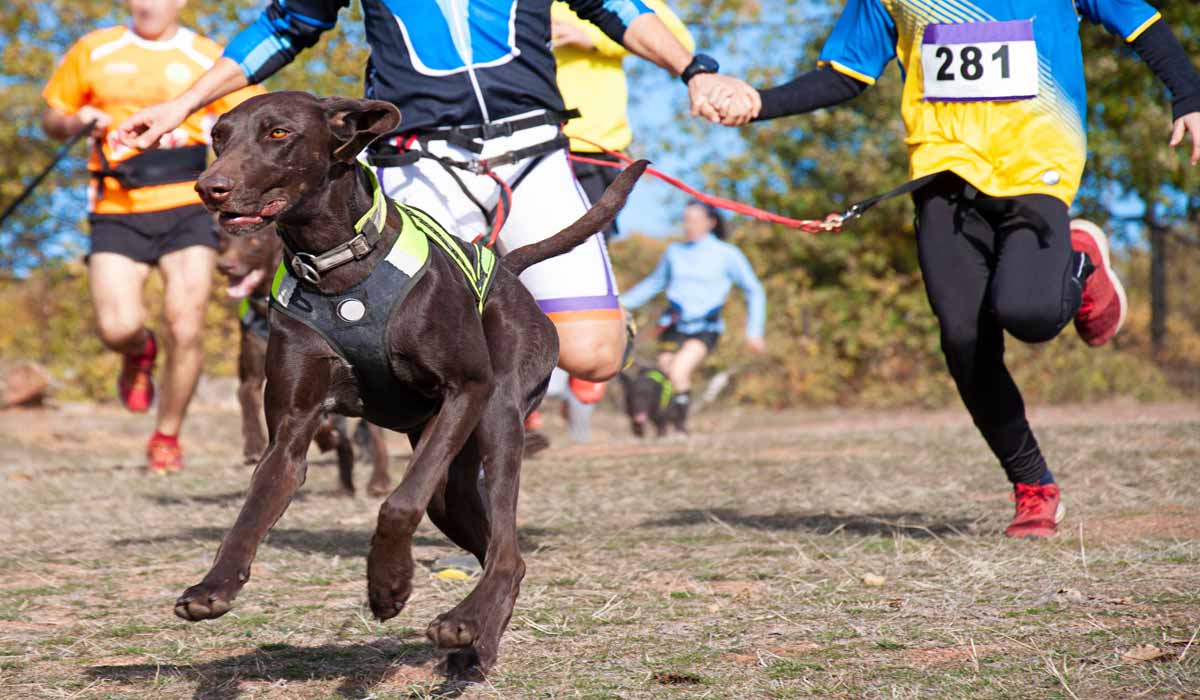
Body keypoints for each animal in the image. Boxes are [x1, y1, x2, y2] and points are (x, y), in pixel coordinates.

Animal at [211, 226, 388, 494]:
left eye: (255, 241)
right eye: (222, 240)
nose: (225, 266)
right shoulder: (259, 374)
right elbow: (246, 394)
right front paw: (253, 445)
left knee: (376, 433)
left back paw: (379, 480)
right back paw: (345, 485)